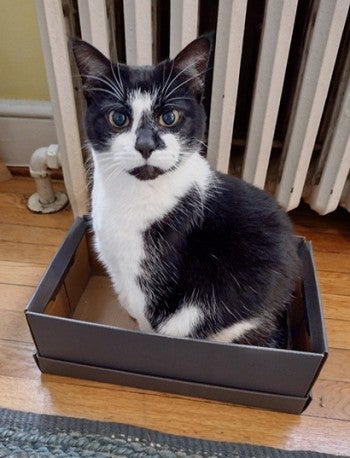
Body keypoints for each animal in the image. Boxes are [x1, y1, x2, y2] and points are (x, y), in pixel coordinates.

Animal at [72, 35, 300, 348]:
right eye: (118, 118)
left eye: (169, 117)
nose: (145, 145)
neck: (134, 195)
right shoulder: (114, 262)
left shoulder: (150, 276)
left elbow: (147, 319)